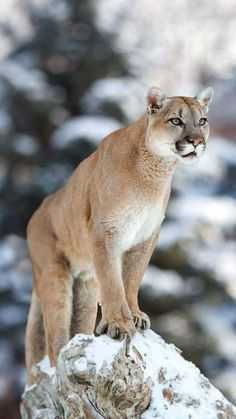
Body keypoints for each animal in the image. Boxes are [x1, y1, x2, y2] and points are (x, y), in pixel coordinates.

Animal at [25, 85, 214, 384]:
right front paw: (119, 323)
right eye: (176, 121)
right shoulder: (105, 232)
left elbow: (132, 278)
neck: (155, 172)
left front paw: (134, 316)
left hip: (85, 287)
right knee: (54, 341)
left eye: (202, 121)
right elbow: (114, 281)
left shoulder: (146, 236)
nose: (196, 141)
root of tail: (35, 214)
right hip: (55, 277)